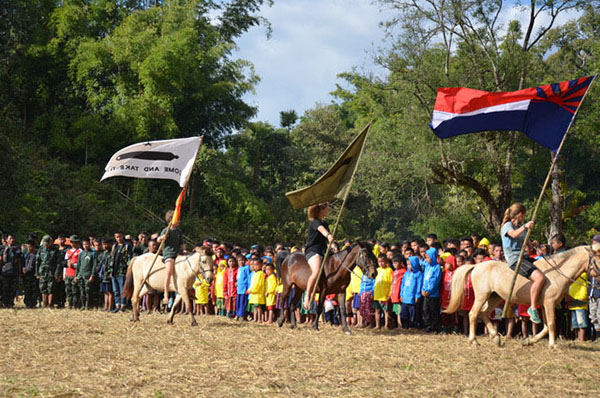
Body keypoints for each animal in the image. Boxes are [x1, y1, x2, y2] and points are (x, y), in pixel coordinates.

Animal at [446, 246, 600, 348]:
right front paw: (553, 345)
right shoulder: (549, 303)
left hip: (495, 297)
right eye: (598, 262)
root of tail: (476, 266)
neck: (557, 272)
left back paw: (496, 337)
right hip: (482, 296)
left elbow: (545, 327)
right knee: (473, 314)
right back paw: (474, 340)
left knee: (484, 313)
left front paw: (529, 340)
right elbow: (551, 324)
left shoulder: (544, 305)